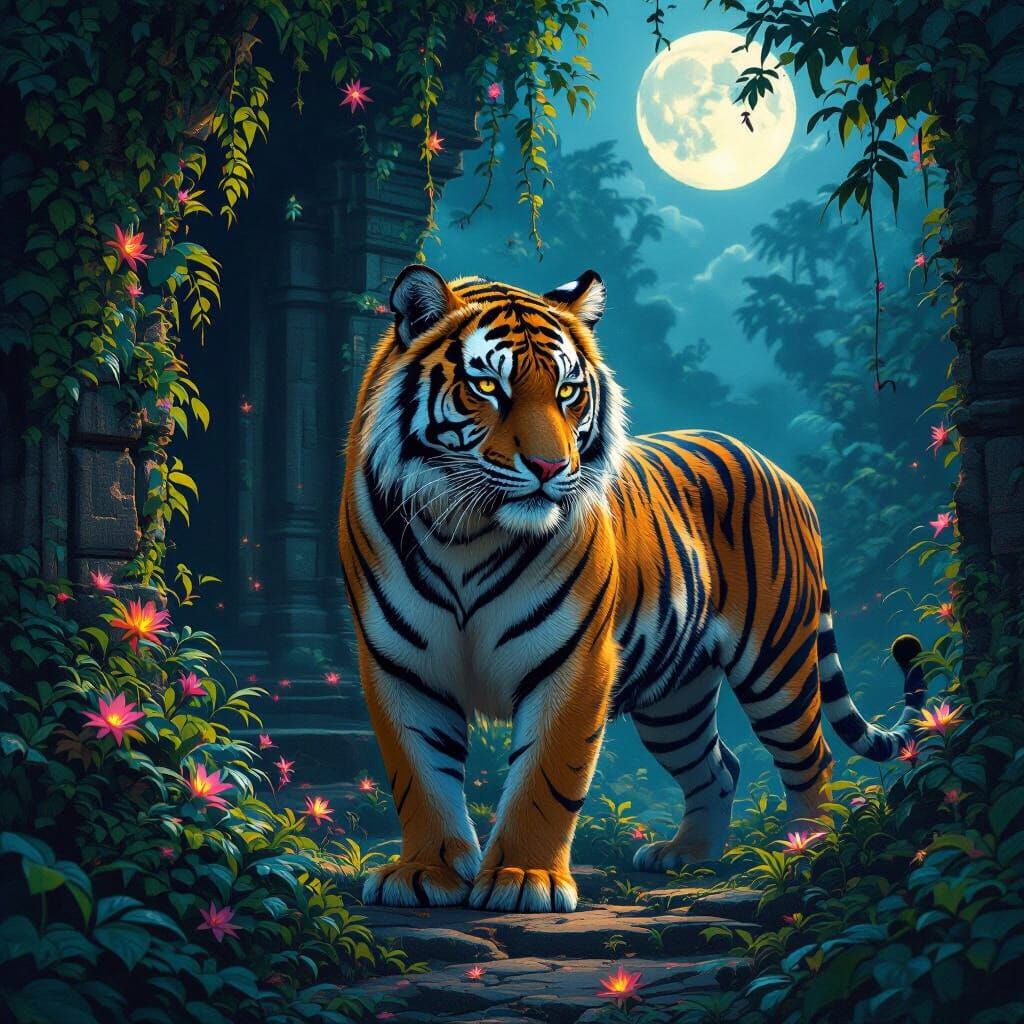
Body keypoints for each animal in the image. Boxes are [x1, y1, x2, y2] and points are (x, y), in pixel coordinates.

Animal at [338, 265, 926, 914]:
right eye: (488, 386)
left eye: (568, 391)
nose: (549, 468)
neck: (465, 531)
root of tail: (778, 469)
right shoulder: (400, 665)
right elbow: (420, 775)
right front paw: (427, 873)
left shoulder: (573, 662)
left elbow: (545, 777)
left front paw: (525, 879)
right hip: (676, 700)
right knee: (718, 766)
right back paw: (688, 855)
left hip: (778, 663)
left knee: (810, 759)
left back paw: (806, 854)